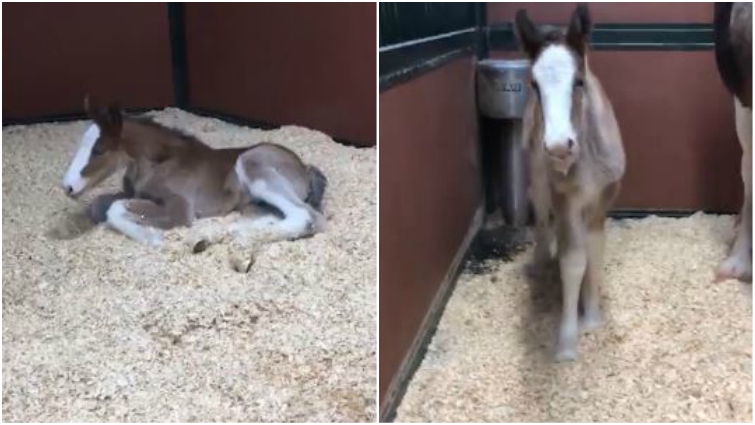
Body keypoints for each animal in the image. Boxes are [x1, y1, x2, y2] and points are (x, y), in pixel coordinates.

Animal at [62, 99, 328, 246]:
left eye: (98, 150)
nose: (68, 187)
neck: (157, 164)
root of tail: (304, 167)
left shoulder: (180, 207)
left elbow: (116, 209)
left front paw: (151, 238)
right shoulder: (134, 193)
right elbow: (99, 206)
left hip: (253, 164)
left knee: (307, 216)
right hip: (251, 203)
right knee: (274, 216)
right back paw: (217, 236)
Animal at [515, 5, 626, 361]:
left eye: (578, 81)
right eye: (534, 84)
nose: (559, 146)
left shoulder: (604, 197)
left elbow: (595, 248)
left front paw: (591, 316)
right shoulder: (565, 198)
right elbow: (573, 260)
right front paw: (566, 343)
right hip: (538, 176)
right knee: (541, 213)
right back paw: (539, 263)